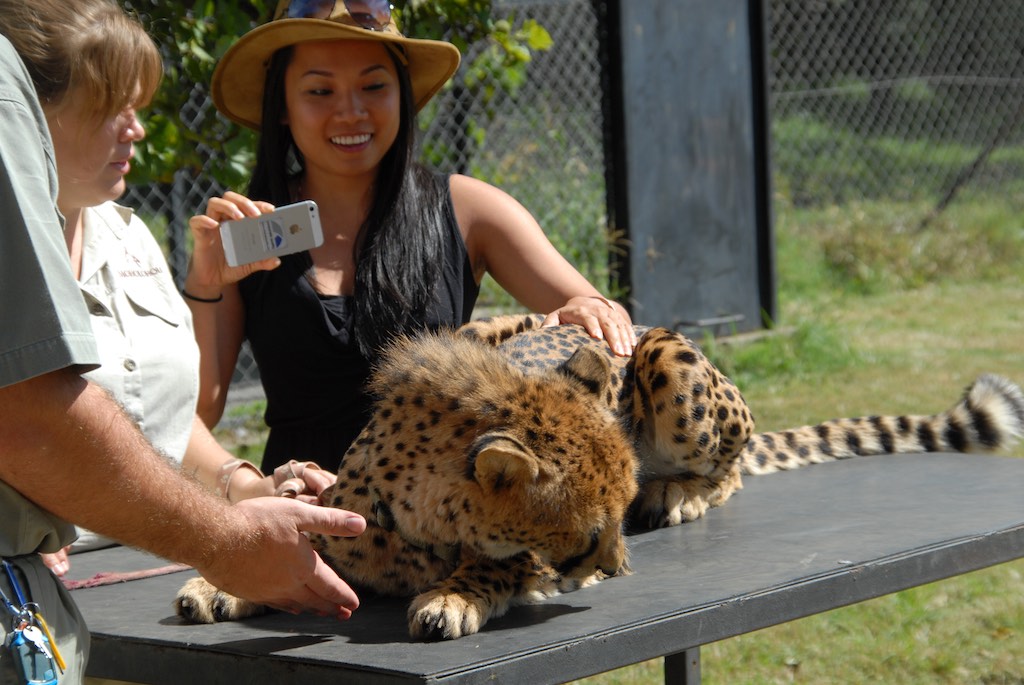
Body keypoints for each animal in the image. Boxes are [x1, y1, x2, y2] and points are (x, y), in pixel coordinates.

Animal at [178, 313, 1024, 638]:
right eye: (589, 534)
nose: (616, 569)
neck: (417, 510)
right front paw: (221, 580)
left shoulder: (513, 556)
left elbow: (494, 566)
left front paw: (453, 594)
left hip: (666, 357)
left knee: (732, 466)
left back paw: (680, 494)